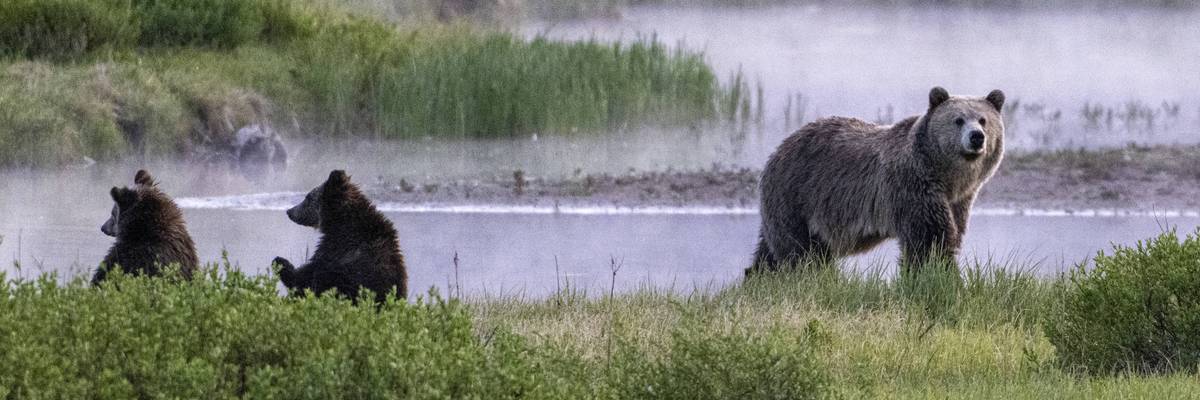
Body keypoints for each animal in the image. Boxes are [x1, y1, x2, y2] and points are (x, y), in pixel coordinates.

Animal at [272, 170, 408, 304]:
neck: (340, 221)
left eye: (308, 197)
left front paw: (280, 262)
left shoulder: (338, 248)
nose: (289, 211)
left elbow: (306, 278)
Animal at [748, 87, 1005, 276]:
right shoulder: (912, 186)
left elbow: (952, 232)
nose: (976, 137)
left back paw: (758, 275)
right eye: (958, 120)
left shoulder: (958, 201)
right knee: (800, 249)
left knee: (770, 249)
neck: (947, 177)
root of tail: (779, 148)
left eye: (983, 120)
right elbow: (930, 240)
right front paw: (941, 276)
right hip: (797, 195)